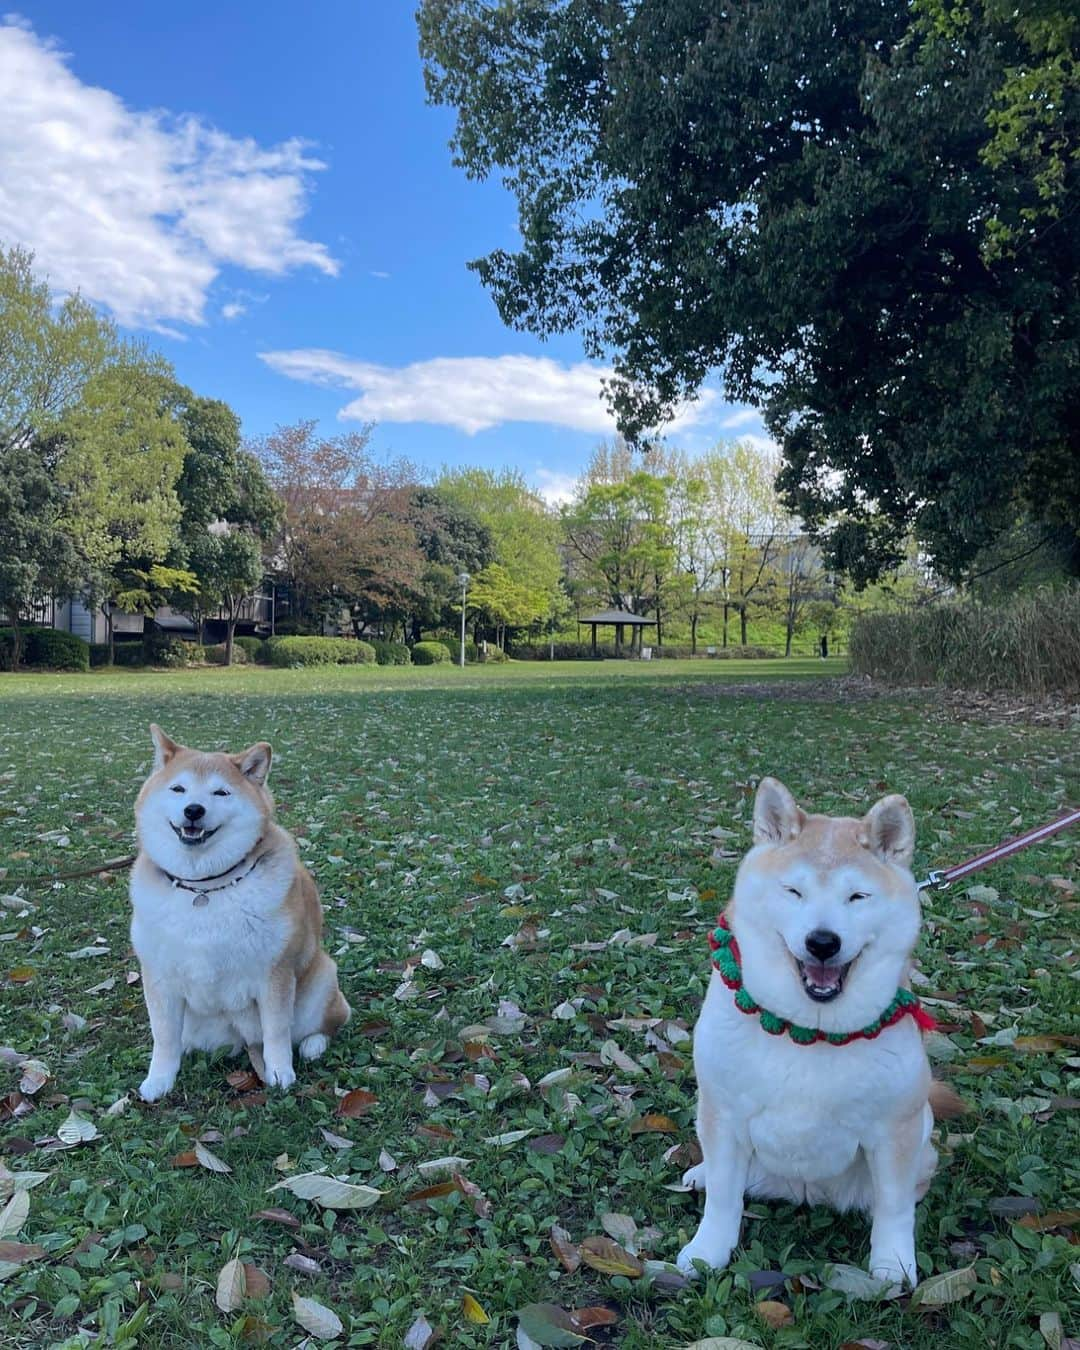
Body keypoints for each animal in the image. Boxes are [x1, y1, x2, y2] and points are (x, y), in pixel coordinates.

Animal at [130, 729, 351, 1096]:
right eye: (178, 789)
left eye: (220, 792)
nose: (193, 810)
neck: (205, 888)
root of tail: (240, 1038)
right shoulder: (160, 976)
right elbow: (163, 1036)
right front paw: (159, 1079)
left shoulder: (274, 974)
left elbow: (276, 1031)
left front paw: (279, 1072)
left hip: (320, 981)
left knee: (329, 1022)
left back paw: (313, 1045)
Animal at [680, 777, 955, 1279]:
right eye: (794, 891)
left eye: (857, 897)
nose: (823, 942)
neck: (807, 1031)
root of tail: (806, 1192)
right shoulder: (724, 1113)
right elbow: (724, 1200)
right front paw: (707, 1251)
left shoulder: (895, 1131)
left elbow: (894, 1209)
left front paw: (893, 1264)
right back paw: (702, 1173)